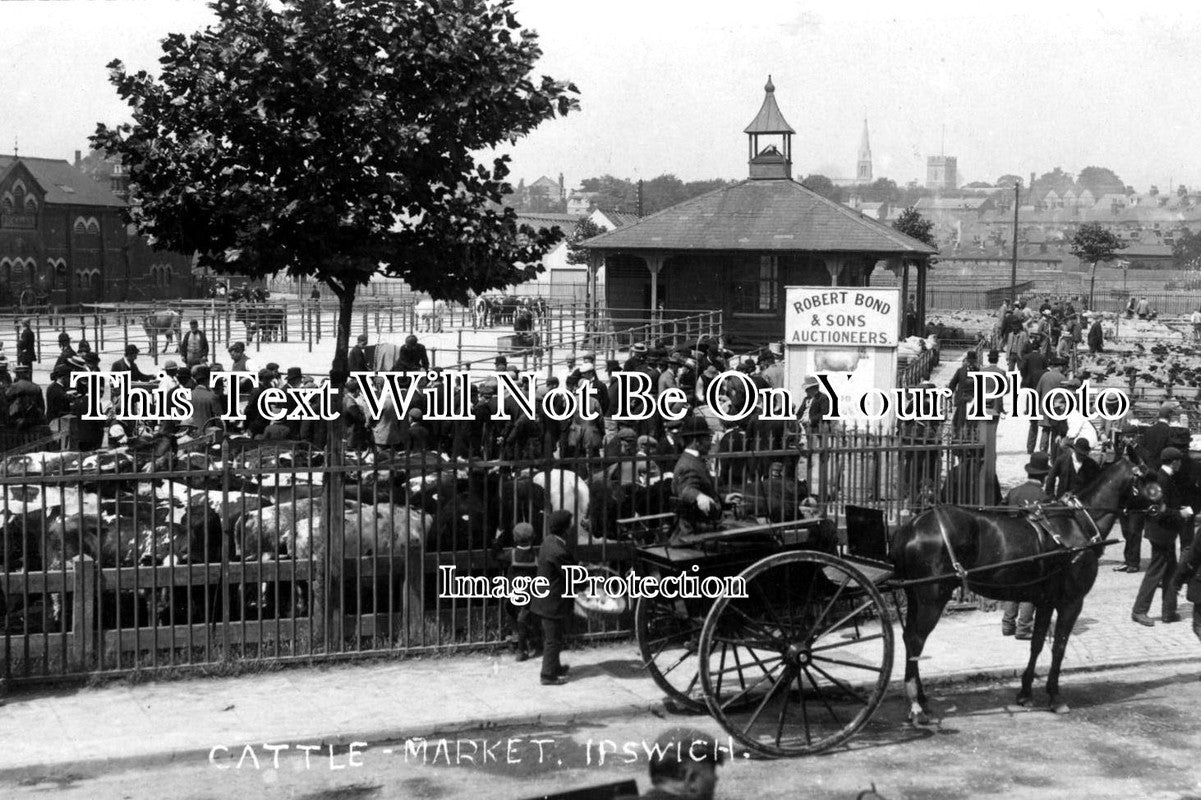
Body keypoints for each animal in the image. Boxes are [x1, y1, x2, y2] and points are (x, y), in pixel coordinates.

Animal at [893, 449, 1152, 720]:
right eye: (1148, 476)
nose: (1163, 506)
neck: (1077, 523)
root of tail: (911, 527)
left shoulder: (1046, 601)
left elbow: (1037, 644)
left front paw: (1026, 692)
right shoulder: (1071, 602)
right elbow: (1059, 647)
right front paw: (1054, 696)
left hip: (915, 596)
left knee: (909, 638)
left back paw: (921, 697)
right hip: (931, 597)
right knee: (916, 640)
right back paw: (915, 704)